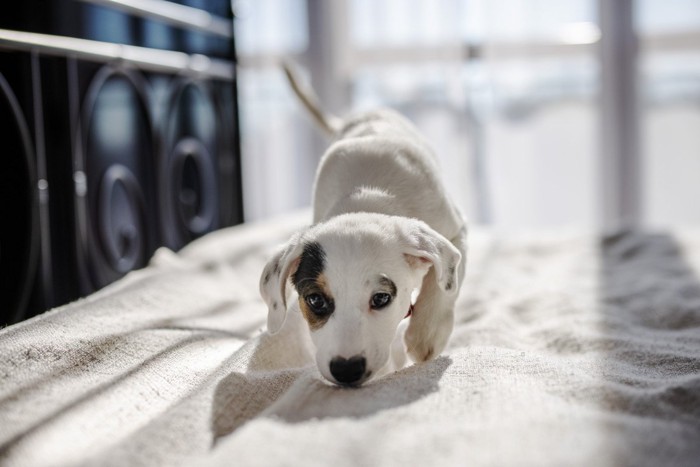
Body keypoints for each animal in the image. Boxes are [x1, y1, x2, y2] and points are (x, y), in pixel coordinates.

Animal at [258, 66, 464, 388]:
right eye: (315, 300)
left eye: (381, 298)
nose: (346, 370)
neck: (367, 198)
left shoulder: (454, 230)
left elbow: (444, 283)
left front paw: (426, 333)